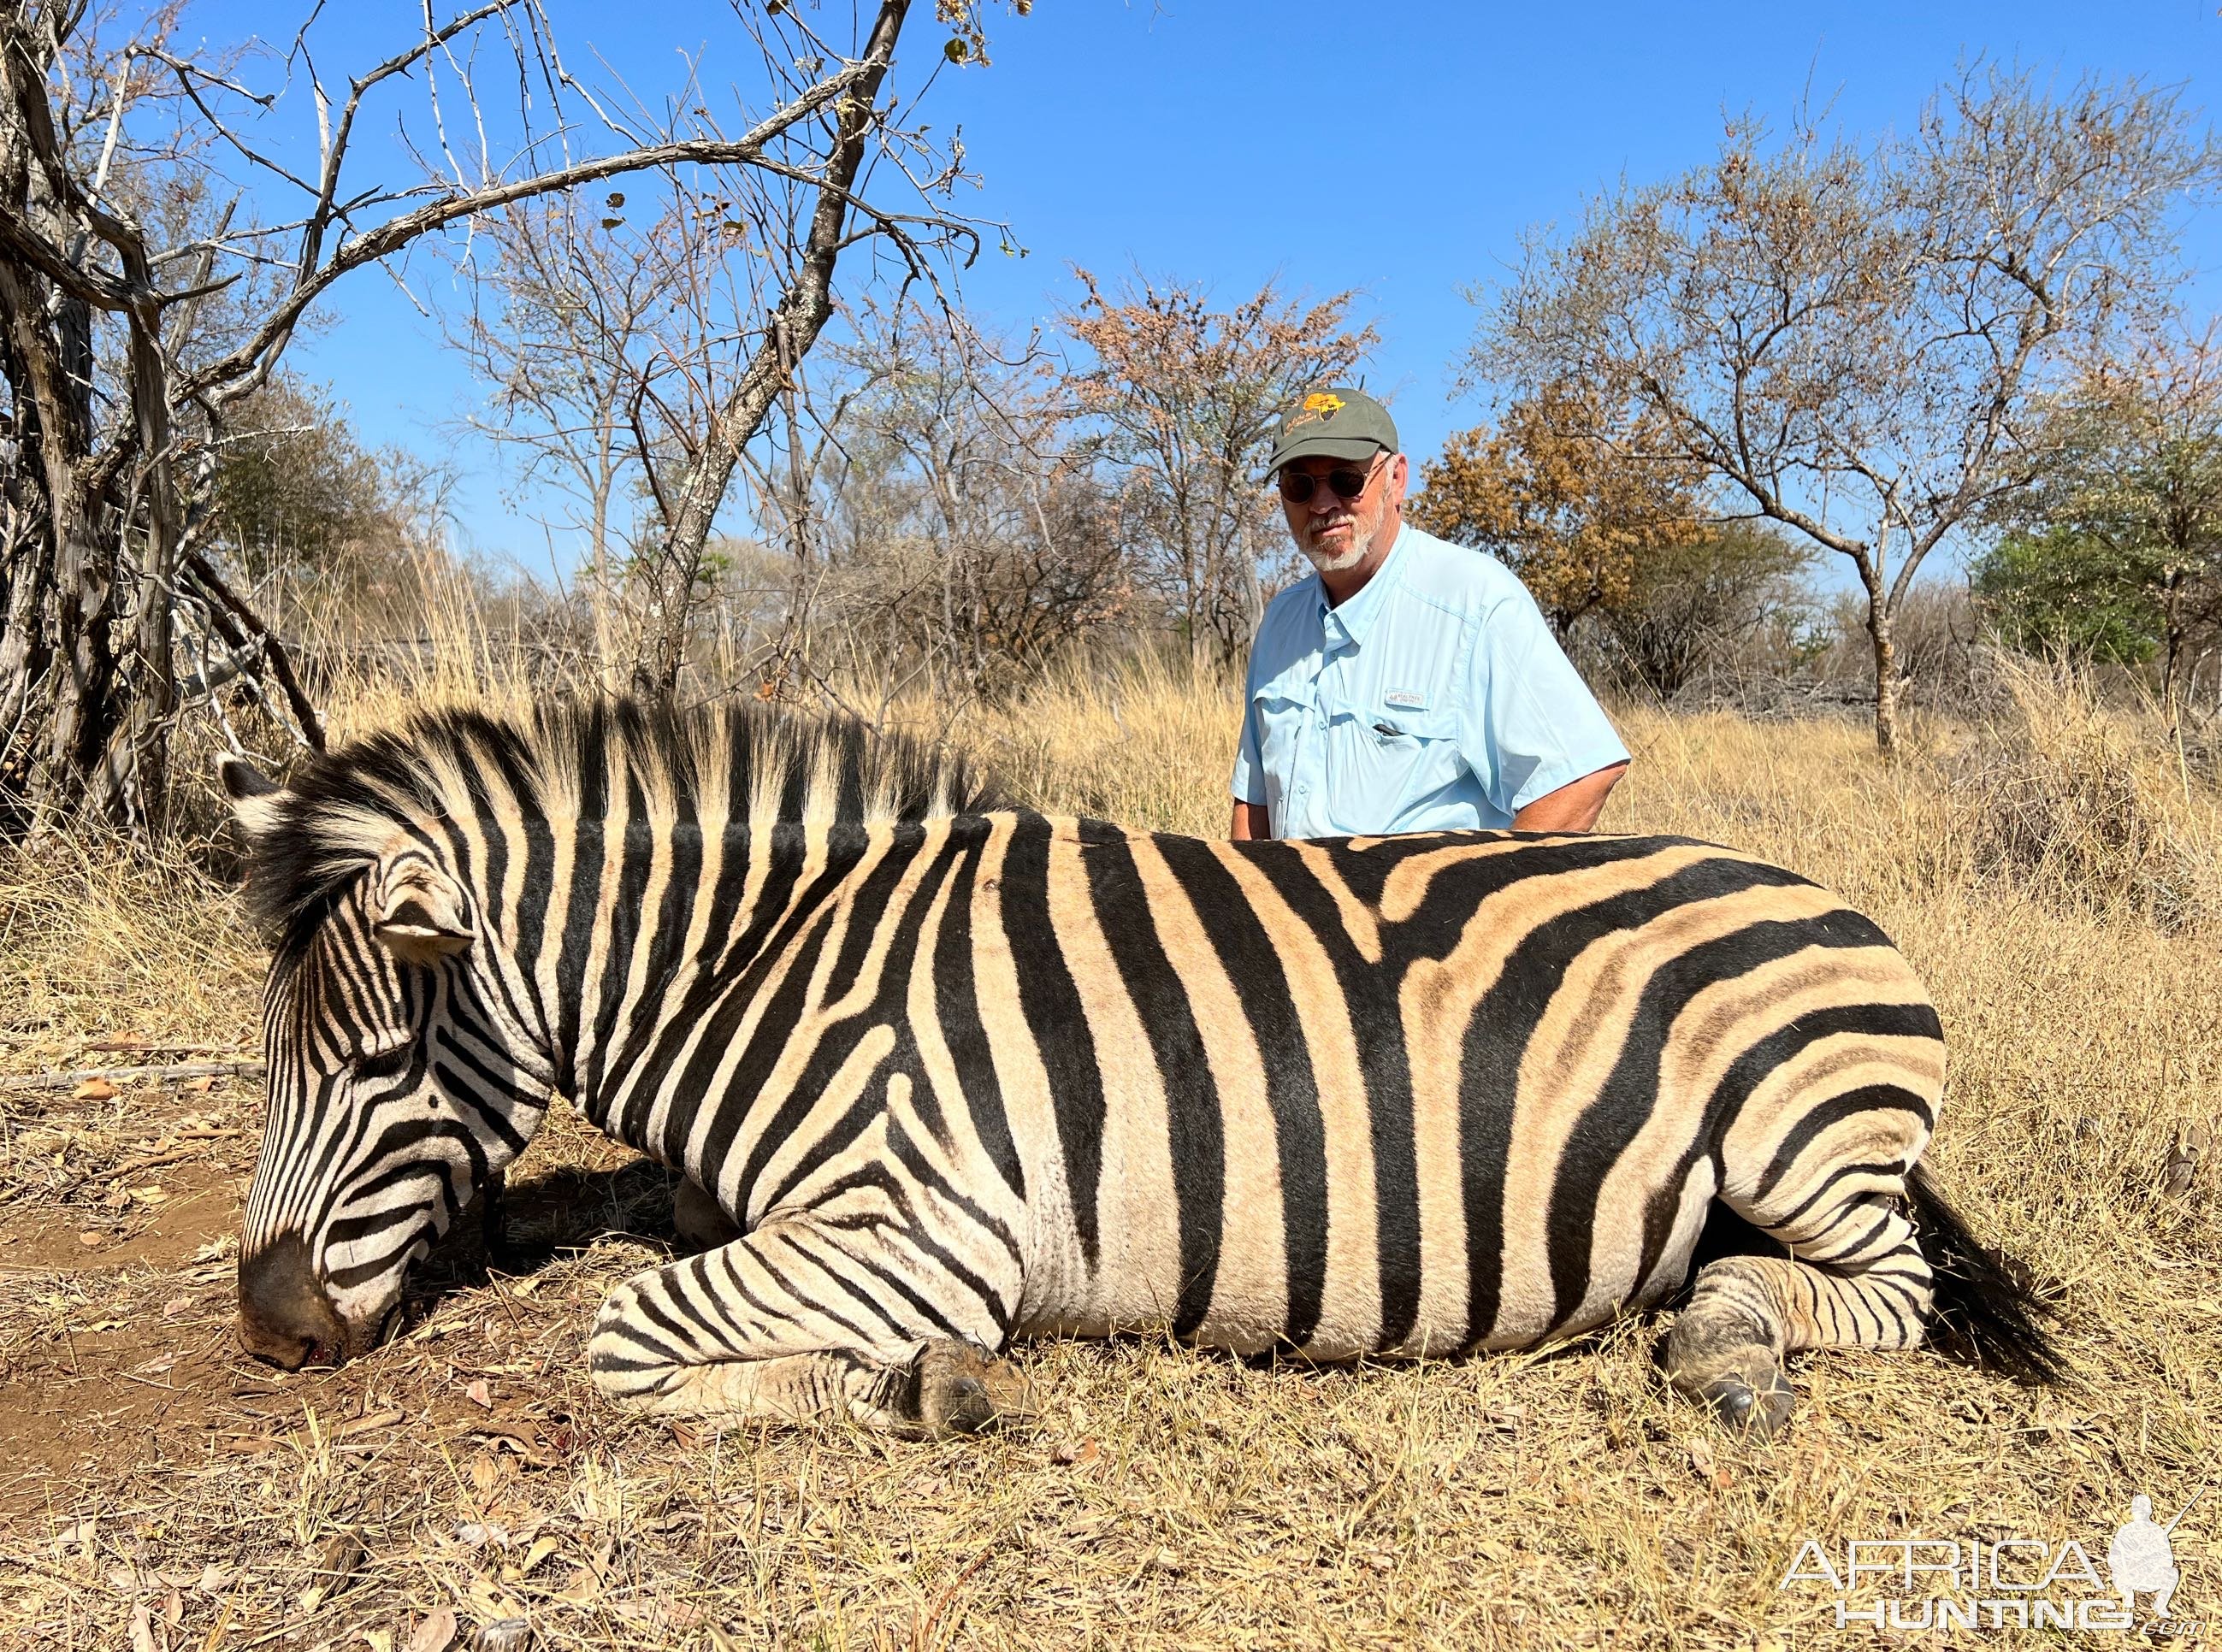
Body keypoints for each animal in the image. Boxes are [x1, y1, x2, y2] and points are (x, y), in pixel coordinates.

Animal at [216, 693, 2053, 1430]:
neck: (774, 964)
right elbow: (626, 1242)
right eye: (276, 1059)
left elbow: (623, 1338)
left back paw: (1730, 1350)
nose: (272, 1328)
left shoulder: (919, 1225)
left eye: (376, 1058)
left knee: (1884, 1287)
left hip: (1795, 1143)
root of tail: (1833, 903)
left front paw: (917, 1389)